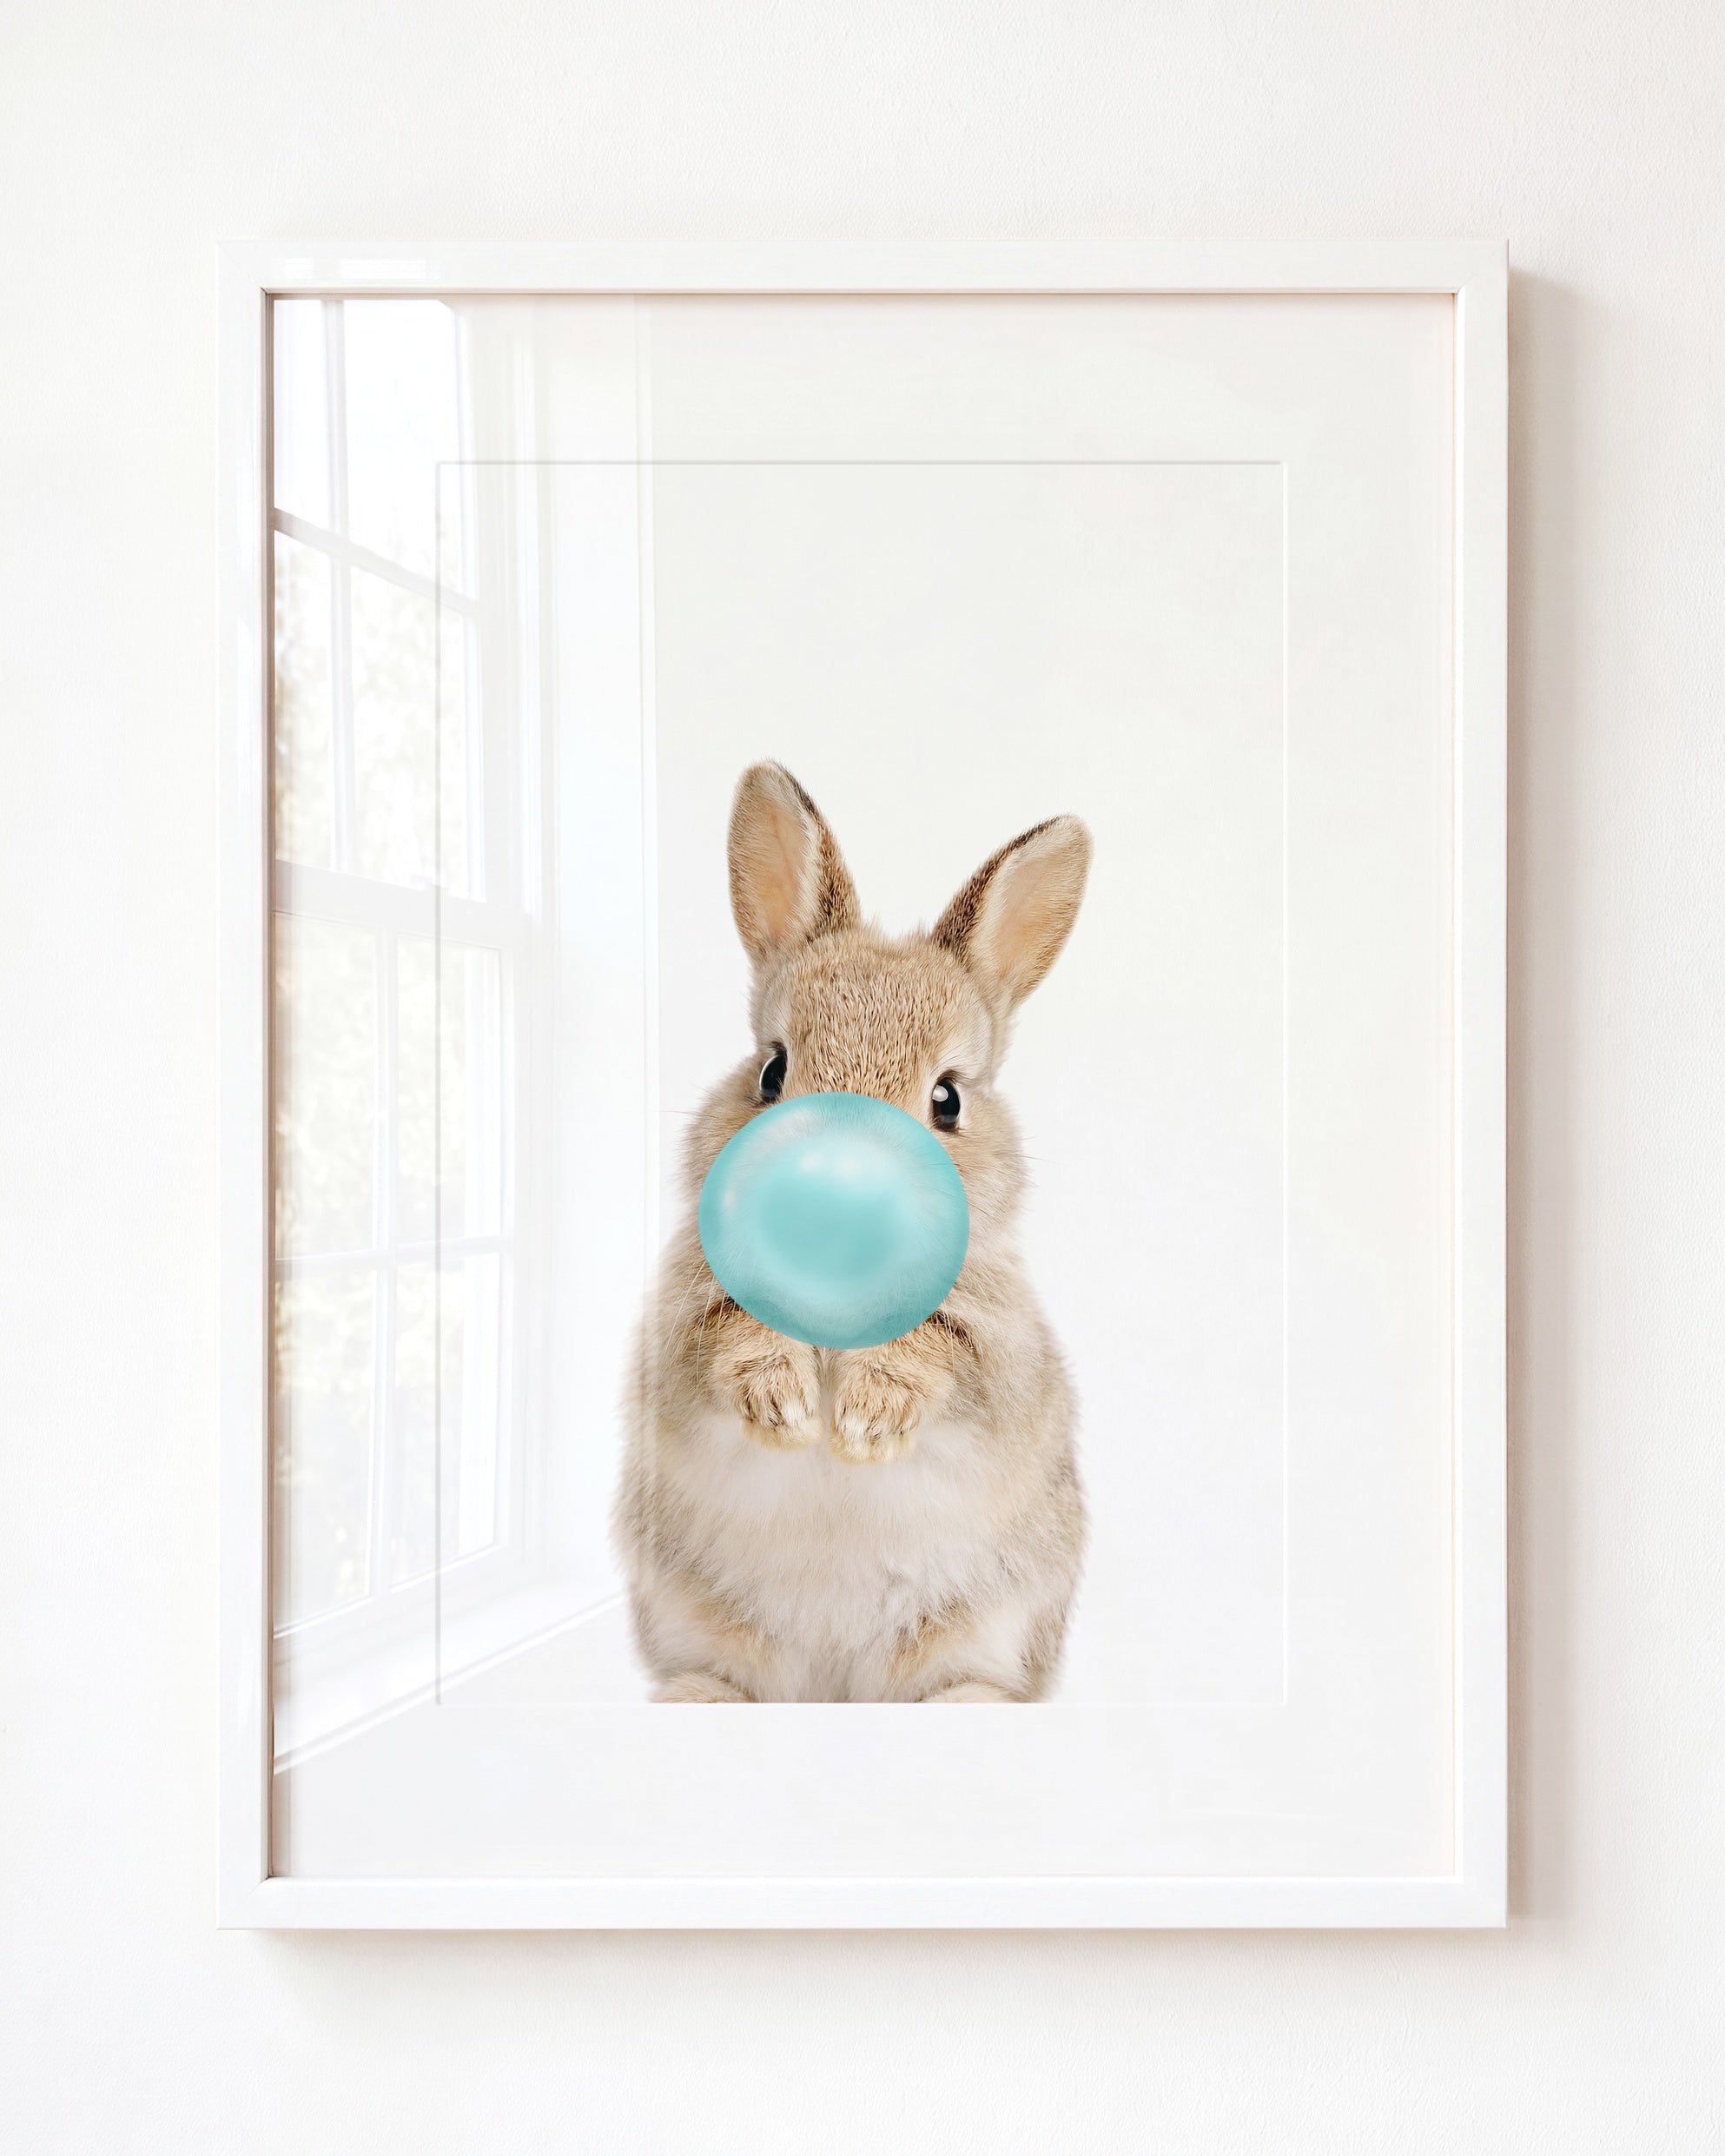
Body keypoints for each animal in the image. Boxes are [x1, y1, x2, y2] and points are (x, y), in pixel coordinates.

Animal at [616, 761, 1091, 1702]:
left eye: (947, 1098)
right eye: (771, 1070)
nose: (835, 1187)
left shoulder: (1000, 1354)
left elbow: (938, 1351)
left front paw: (865, 1423)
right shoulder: (681, 1332)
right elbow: (729, 1339)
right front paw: (786, 1407)